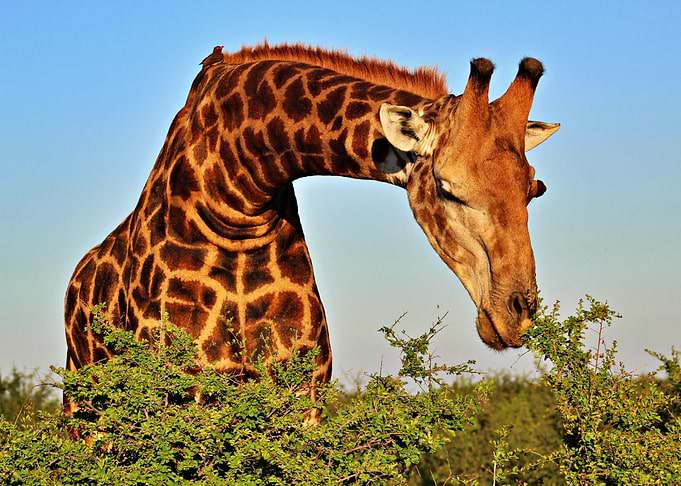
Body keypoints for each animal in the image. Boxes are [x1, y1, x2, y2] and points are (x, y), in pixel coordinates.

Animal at [64, 43, 559, 398]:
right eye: (447, 188)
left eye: (534, 190)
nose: (517, 315)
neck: (235, 199)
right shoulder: (185, 390)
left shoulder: (303, 392)